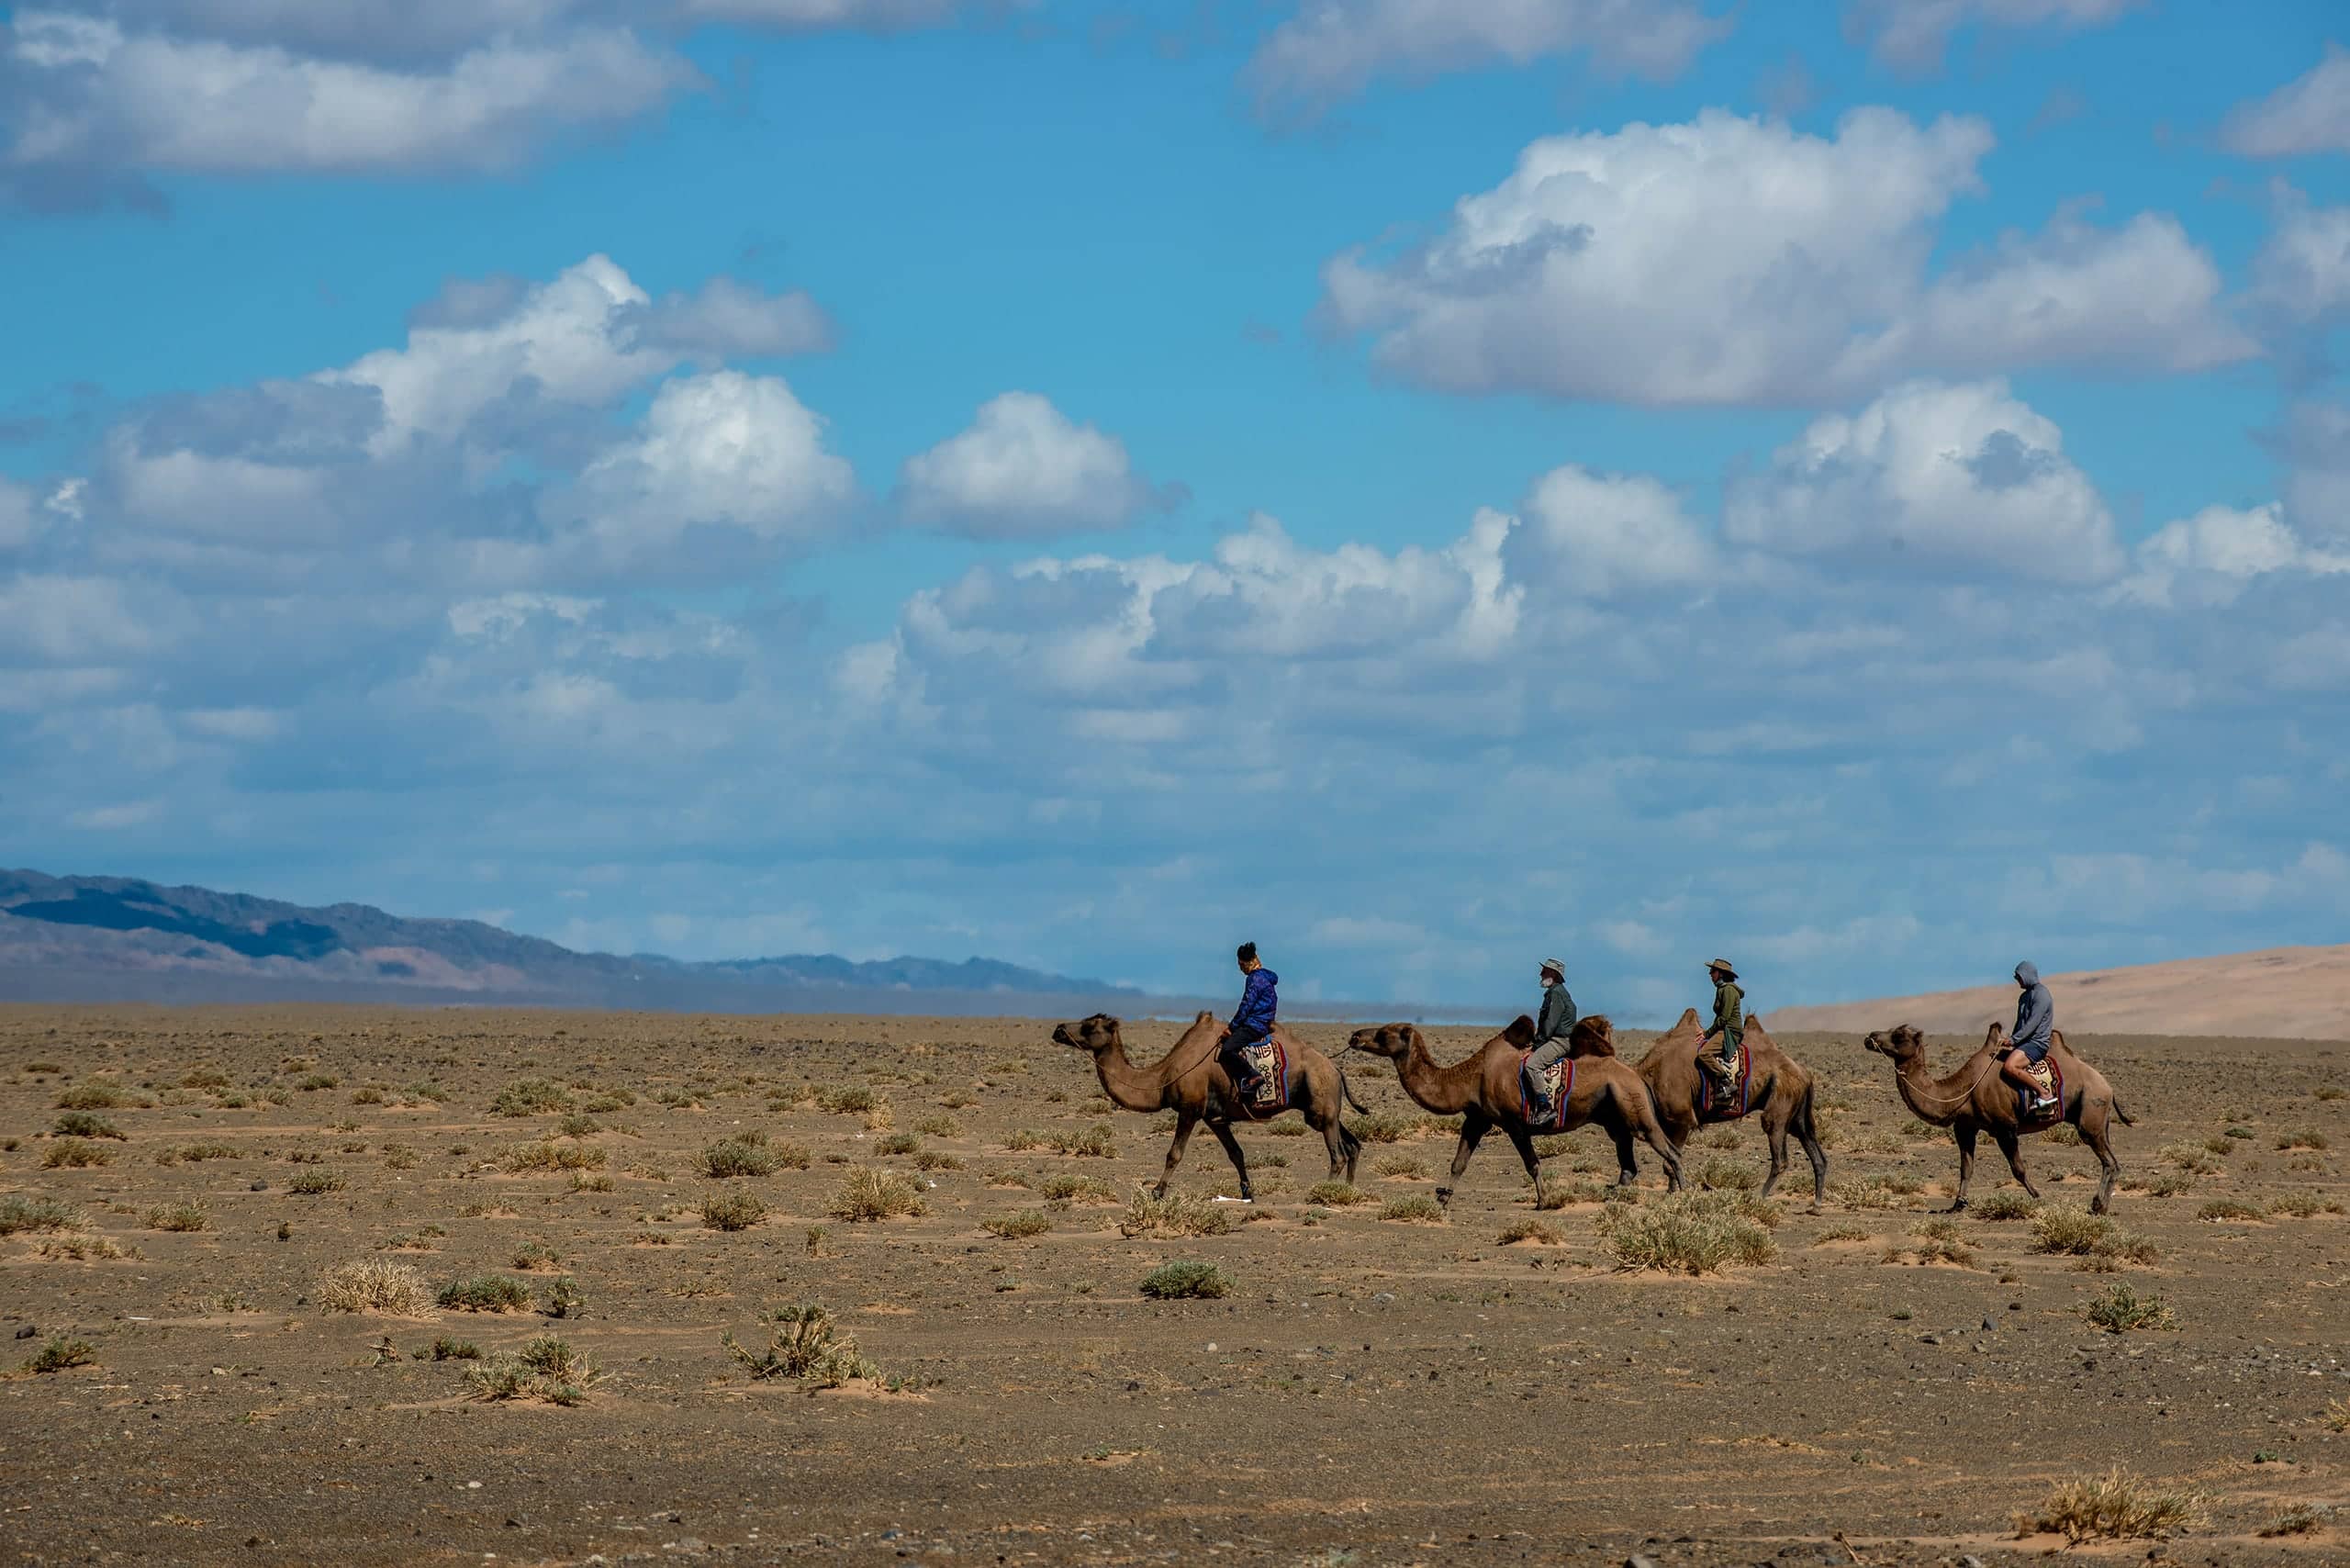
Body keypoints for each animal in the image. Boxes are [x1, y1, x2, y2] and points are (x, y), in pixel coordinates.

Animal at [1050, 1011, 1363, 1200]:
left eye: (1090, 1025)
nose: (1059, 1029)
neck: (1163, 1076)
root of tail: (1336, 1069)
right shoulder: (1215, 1118)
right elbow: (1236, 1154)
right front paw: (1247, 1192)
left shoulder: (1190, 1109)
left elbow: (1174, 1154)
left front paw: (1157, 1192)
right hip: (1326, 1108)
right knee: (1352, 1145)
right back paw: (1348, 1191)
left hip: (1320, 1103)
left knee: (1337, 1153)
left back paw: (1322, 1192)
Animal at [1345, 1015, 1681, 1209]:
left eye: (1385, 1033)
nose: (1355, 1036)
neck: (1469, 1078)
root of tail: (1636, 1075)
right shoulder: (1477, 1118)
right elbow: (1459, 1162)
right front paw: (1442, 1199)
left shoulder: (1513, 1122)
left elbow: (1532, 1164)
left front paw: (1543, 1201)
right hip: (1614, 1115)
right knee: (1628, 1160)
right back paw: (1612, 1195)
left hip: (1632, 1105)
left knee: (1668, 1148)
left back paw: (1682, 1193)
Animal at [1587, 1009, 1828, 1211]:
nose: (1623, 1178)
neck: (1649, 1079)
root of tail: (1805, 1074)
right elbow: (1671, 1160)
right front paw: (1673, 1193)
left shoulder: (1681, 1121)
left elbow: (1670, 1161)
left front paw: (1674, 1194)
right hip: (1798, 1113)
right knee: (1815, 1151)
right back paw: (1816, 1204)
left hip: (1781, 1099)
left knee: (1778, 1152)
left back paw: (1758, 1196)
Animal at [1862, 1022, 2133, 1213]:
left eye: (1899, 1035)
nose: (1869, 1037)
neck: (1962, 1090)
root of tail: (2107, 1086)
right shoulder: (1965, 1127)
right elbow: (1966, 1168)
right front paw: (1957, 1204)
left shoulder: (2005, 1127)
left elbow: (2018, 1169)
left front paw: (2038, 1197)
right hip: (2098, 1119)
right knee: (2112, 1159)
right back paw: (2100, 1205)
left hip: (2091, 1109)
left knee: (2108, 1159)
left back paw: (2099, 1206)